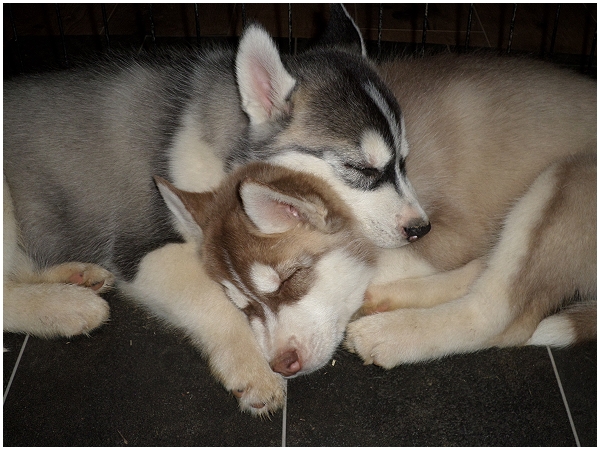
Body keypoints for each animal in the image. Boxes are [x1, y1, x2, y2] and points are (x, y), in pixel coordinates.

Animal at [3, 5, 426, 415]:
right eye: (362, 169)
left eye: (404, 162)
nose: (421, 228)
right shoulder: (139, 248)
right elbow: (213, 297)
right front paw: (252, 367)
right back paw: (66, 306)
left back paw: (73, 277)